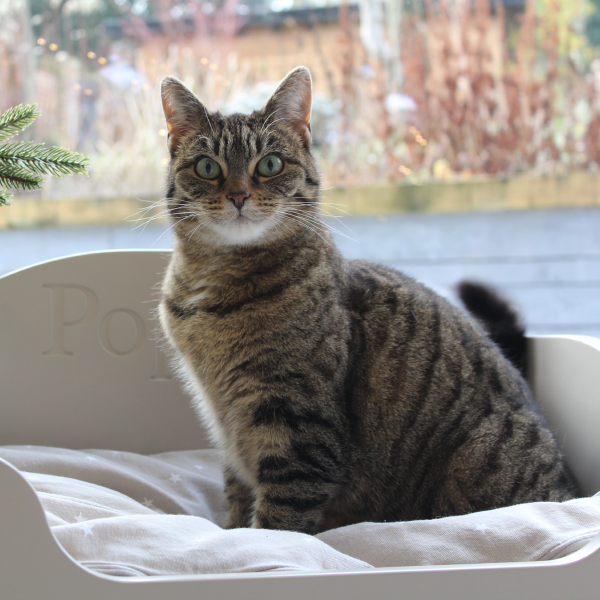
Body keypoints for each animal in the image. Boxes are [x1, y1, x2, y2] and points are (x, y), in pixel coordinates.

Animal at [157, 67, 580, 536]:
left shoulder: (298, 427)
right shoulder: (227, 426)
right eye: (207, 167)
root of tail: (570, 488)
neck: (211, 288)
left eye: (269, 164)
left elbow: (277, 523)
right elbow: (236, 494)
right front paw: (230, 529)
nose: (237, 196)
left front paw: (254, 541)